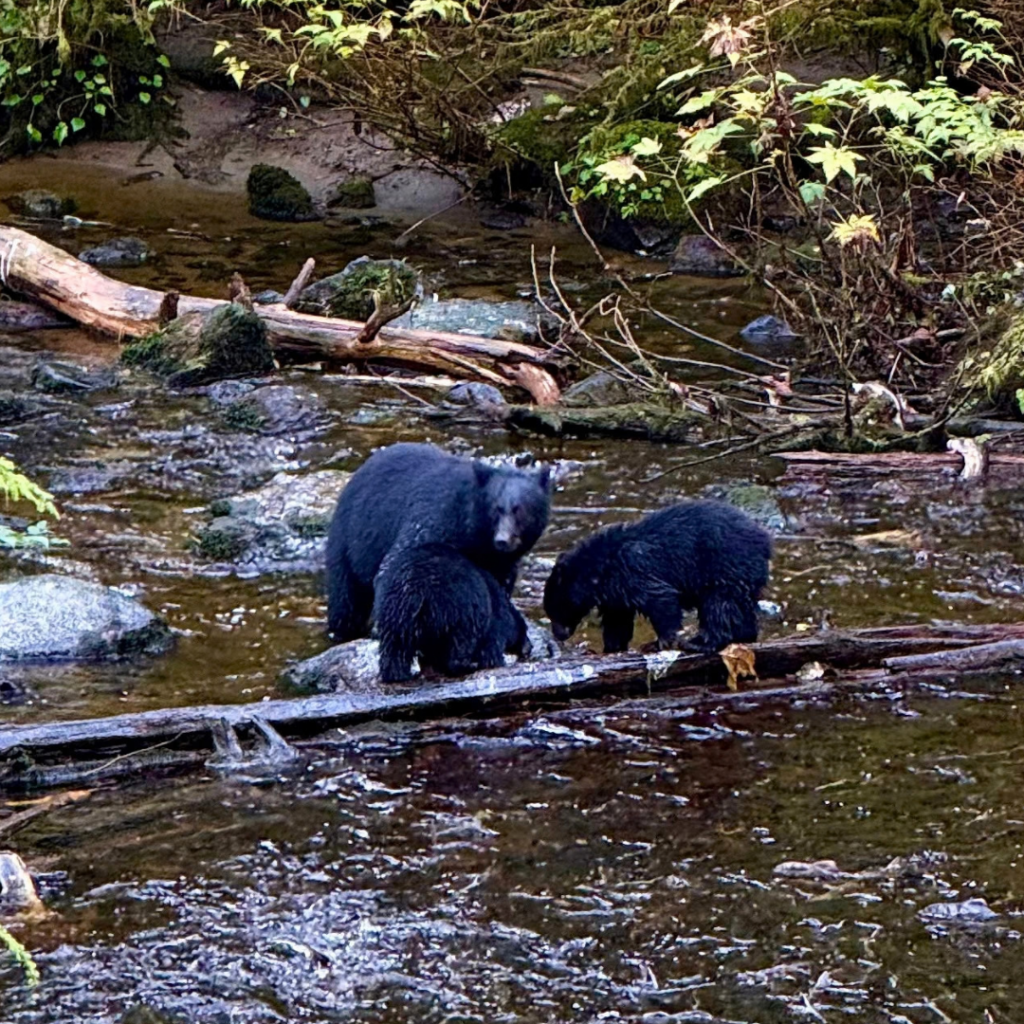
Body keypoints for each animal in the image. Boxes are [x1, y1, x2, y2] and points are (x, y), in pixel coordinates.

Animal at [325, 442, 551, 641]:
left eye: (520, 510)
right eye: (497, 508)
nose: (502, 540)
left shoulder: (499, 562)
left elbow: (499, 587)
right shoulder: (434, 519)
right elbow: (395, 562)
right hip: (347, 541)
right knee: (345, 600)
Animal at [373, 543, 529, 683]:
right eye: (525, 629)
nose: (529, 648)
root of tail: (413, 587)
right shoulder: (494, 621)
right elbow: (491, 647)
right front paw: (495, 662)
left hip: (392, 613)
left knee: (394, 647)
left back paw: (396, 675)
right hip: (460, 608)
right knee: (463, 640)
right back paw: (467, 665)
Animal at [543, 500, 771, 654]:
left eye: (554, 609)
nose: (558, 635)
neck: (598, 570)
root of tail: (765, 540)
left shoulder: (632, 570)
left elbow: (660, 598)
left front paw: (659, 642)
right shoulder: (615, 593)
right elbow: (618, 619)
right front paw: (612, 646)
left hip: (724, 567)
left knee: (719, 605)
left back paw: (698, 642)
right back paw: (746, 635)